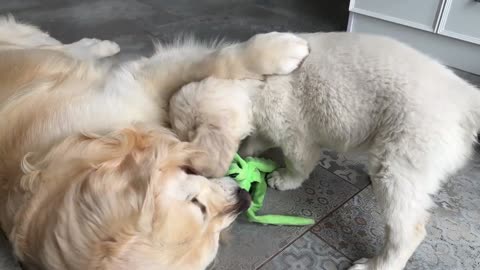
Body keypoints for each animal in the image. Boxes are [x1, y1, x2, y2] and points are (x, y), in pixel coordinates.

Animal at [169, 32, 480, 270]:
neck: (257, 83)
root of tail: (466, 99)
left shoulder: (296, 134)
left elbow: (298, 161)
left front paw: (285, 179)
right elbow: (257, 138)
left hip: (403, 157)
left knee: (409, 230)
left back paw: (376, 265)